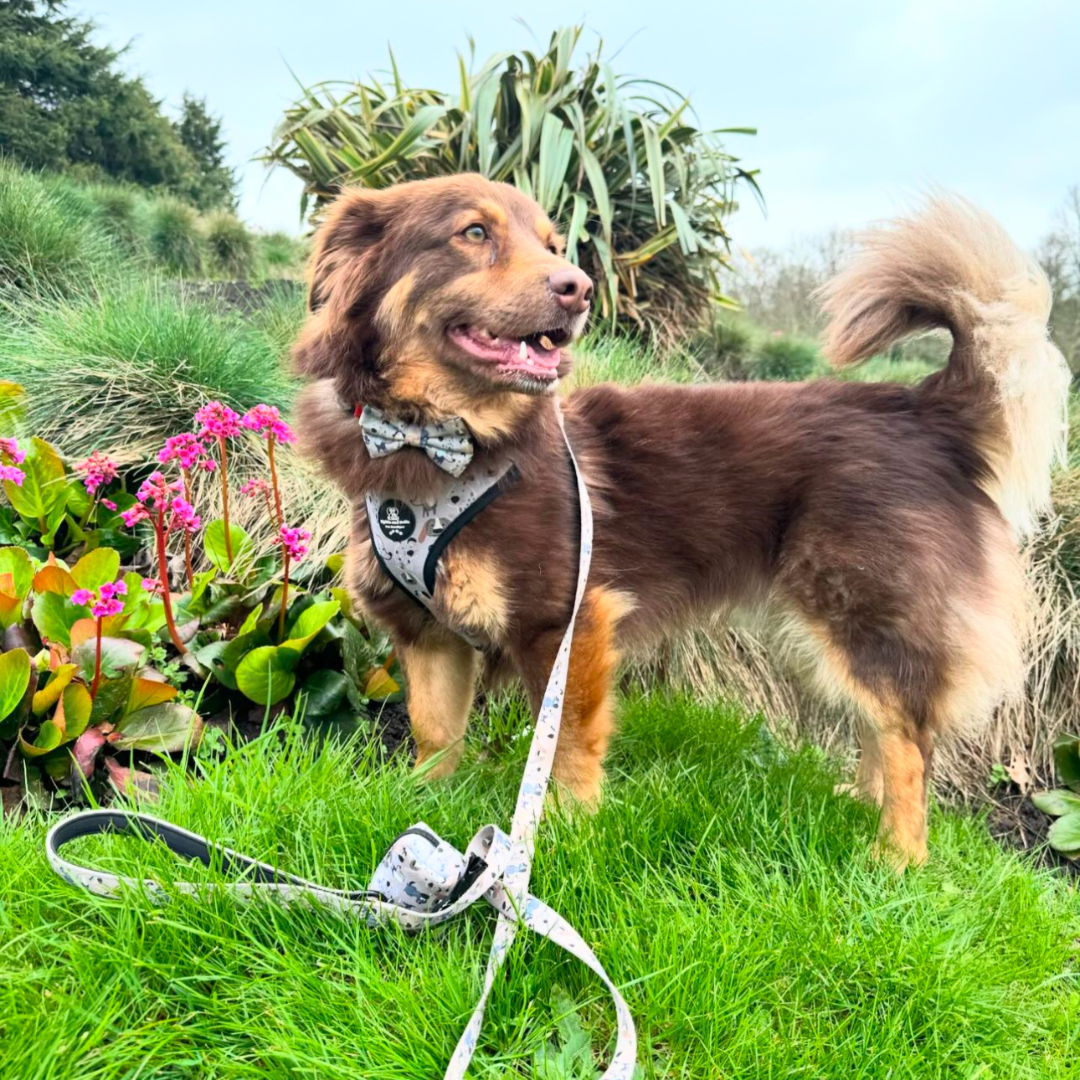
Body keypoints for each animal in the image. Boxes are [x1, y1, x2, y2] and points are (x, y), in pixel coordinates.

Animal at [293, 177, 1071, 868]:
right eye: (474, 233)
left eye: (551, 244)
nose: (578, 287)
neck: (437, 441)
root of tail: (924, 411)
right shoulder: (427, 634)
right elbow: (434, 733)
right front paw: (423, 806)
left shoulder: (566, 622)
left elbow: (564, 742)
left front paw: (562, 831)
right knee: (885, 731)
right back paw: (861, 804)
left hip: (863, 614)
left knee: (908, 739)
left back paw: (896, 858)